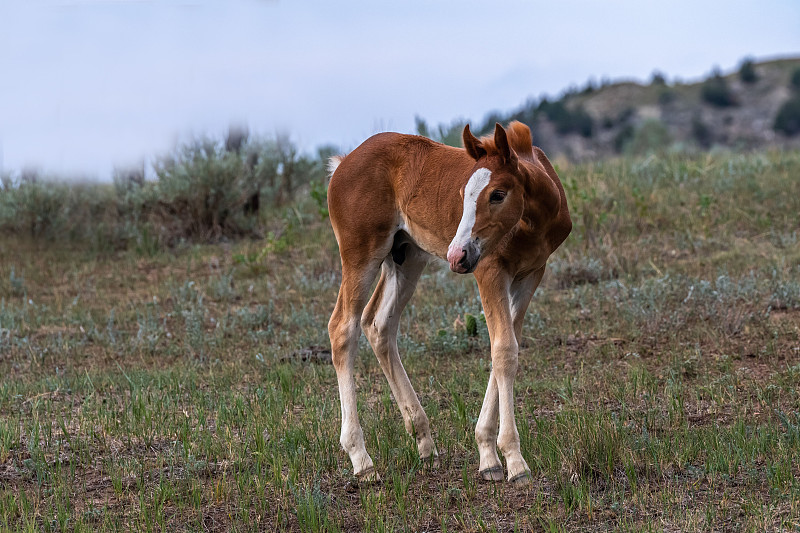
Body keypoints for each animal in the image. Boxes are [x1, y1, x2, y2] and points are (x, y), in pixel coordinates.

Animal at [328, 122, 572, 484]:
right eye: (461, 195)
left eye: (497, 194)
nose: (457, 255)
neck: (533, 221)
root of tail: (342, 164)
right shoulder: (489, 270)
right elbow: (504, 350)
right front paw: (514, 461)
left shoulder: (531, 274)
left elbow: (506, 346)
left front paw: (488, 455)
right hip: (362, 253)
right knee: (343, 328)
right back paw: (362, 460)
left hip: (406, 256)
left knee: (378, 323)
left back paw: (425, 443)